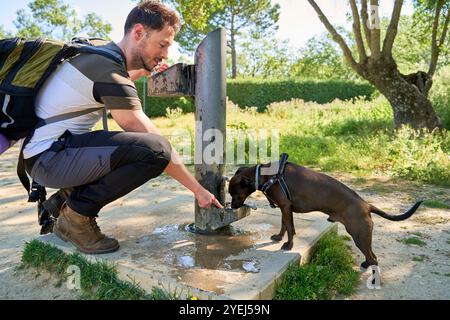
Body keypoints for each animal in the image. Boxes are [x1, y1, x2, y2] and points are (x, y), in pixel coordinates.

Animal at [230, 161, 424, 268]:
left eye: (235, 194)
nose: (231, 207)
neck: (267, 175)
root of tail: (366, 205)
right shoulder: (284, 209)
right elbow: (284, 225)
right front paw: (278, 237)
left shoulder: (285, 206)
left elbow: (290, 228)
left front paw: (288, 245)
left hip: (359, 235)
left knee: (374, 259)